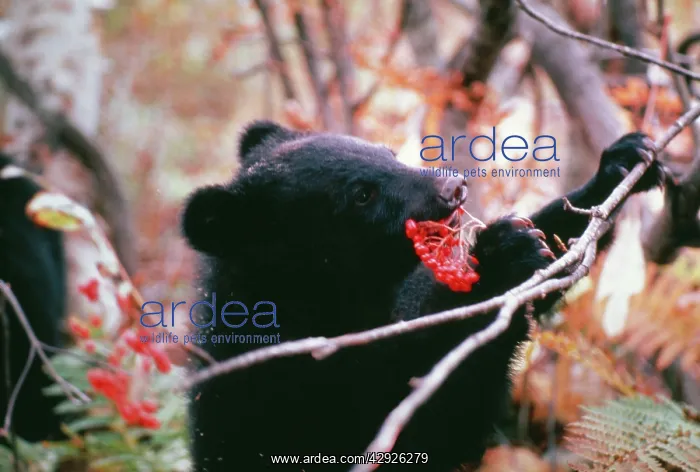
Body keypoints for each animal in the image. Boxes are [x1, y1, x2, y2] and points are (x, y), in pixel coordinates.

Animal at [180, 121, 663, 471]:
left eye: (388, 154)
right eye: (362, 194)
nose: (453, 187)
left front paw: (619, 166)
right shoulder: (298, 396)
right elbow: (428, 415)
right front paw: (503, 259)